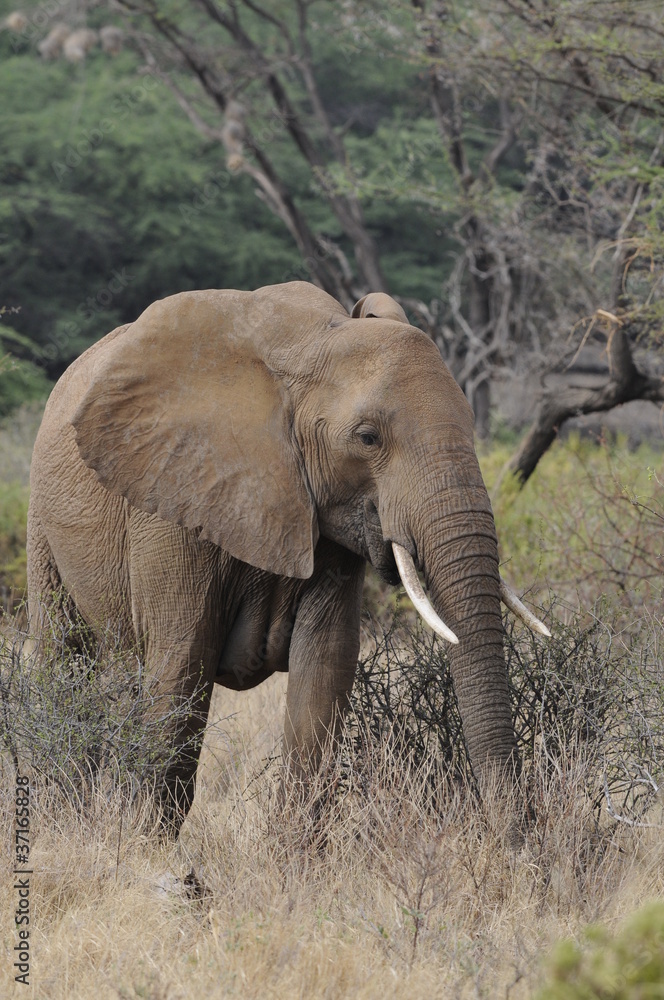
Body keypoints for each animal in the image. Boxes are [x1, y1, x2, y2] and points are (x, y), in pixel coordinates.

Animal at [27, 280, 548, 828]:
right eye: (368, 438)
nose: (516, 834)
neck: (311, 346)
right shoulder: (170, 499)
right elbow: (180, 664)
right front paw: (144, 841)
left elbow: (325, 668)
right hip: (43, 518)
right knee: (63, 662)